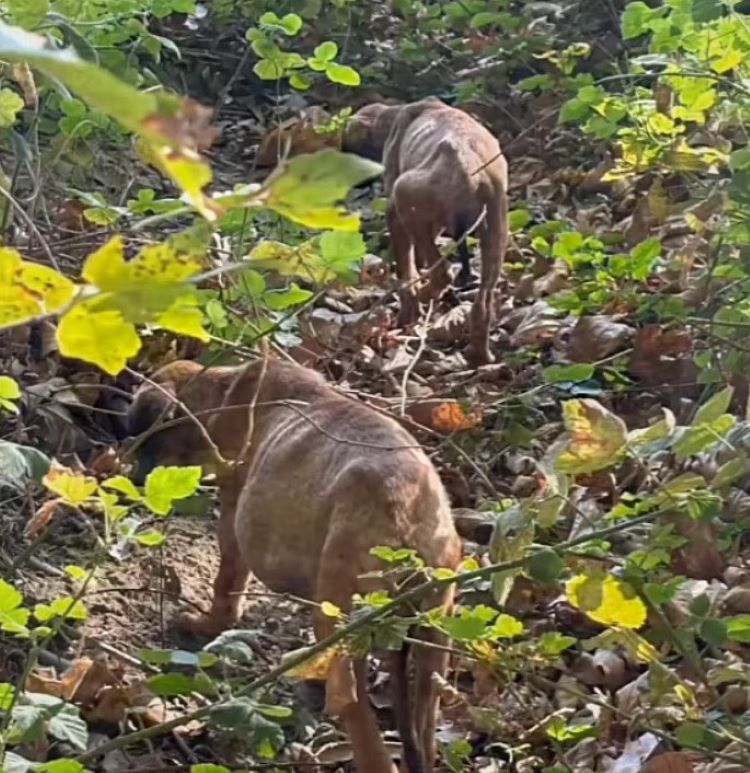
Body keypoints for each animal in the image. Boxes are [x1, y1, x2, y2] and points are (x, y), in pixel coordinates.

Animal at [126, 358, 462, 772]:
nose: (132, 477)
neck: (225, 391)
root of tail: (405, 527)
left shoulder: (233, 512)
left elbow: (227, 582)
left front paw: (208, 623)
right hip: (435, 641)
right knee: (425, 711)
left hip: (339, 615)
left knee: (357, 713)